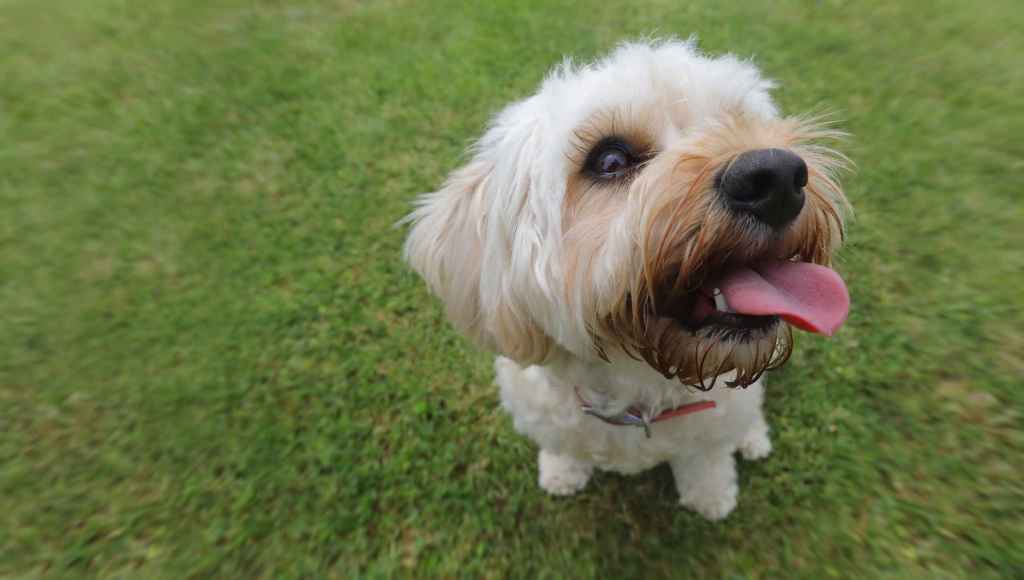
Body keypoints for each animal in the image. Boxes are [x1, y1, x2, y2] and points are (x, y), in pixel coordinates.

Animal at [399, 40, 847, 522]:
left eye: (741, 121)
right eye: (610, 160)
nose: (777, 177)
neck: (637, 395)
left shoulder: (710, 432)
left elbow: (708, 461)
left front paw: (712, 499)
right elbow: (561, 445)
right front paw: (561, 473)